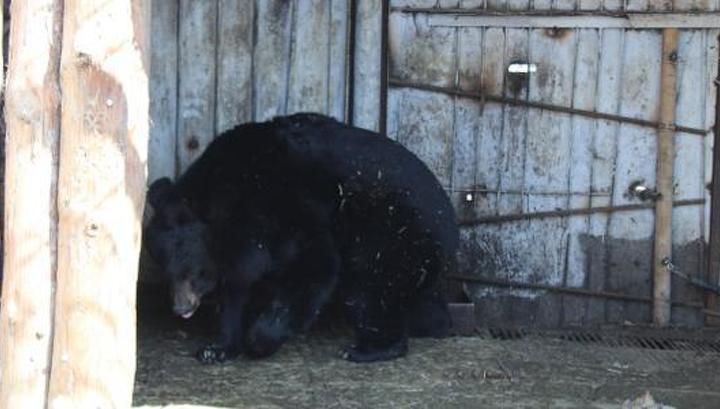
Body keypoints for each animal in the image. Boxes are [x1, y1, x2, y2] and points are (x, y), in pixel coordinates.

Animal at [144, 113, 458, 362]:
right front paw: (218, 347)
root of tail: (451, 225)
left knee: (374, 288)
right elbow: (237, 290)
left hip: (394, 234)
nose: (181, 308)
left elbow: (314, 266)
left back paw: (365, 349)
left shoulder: (285, 212)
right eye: (167, 271)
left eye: (193, 272)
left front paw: (259, 339)